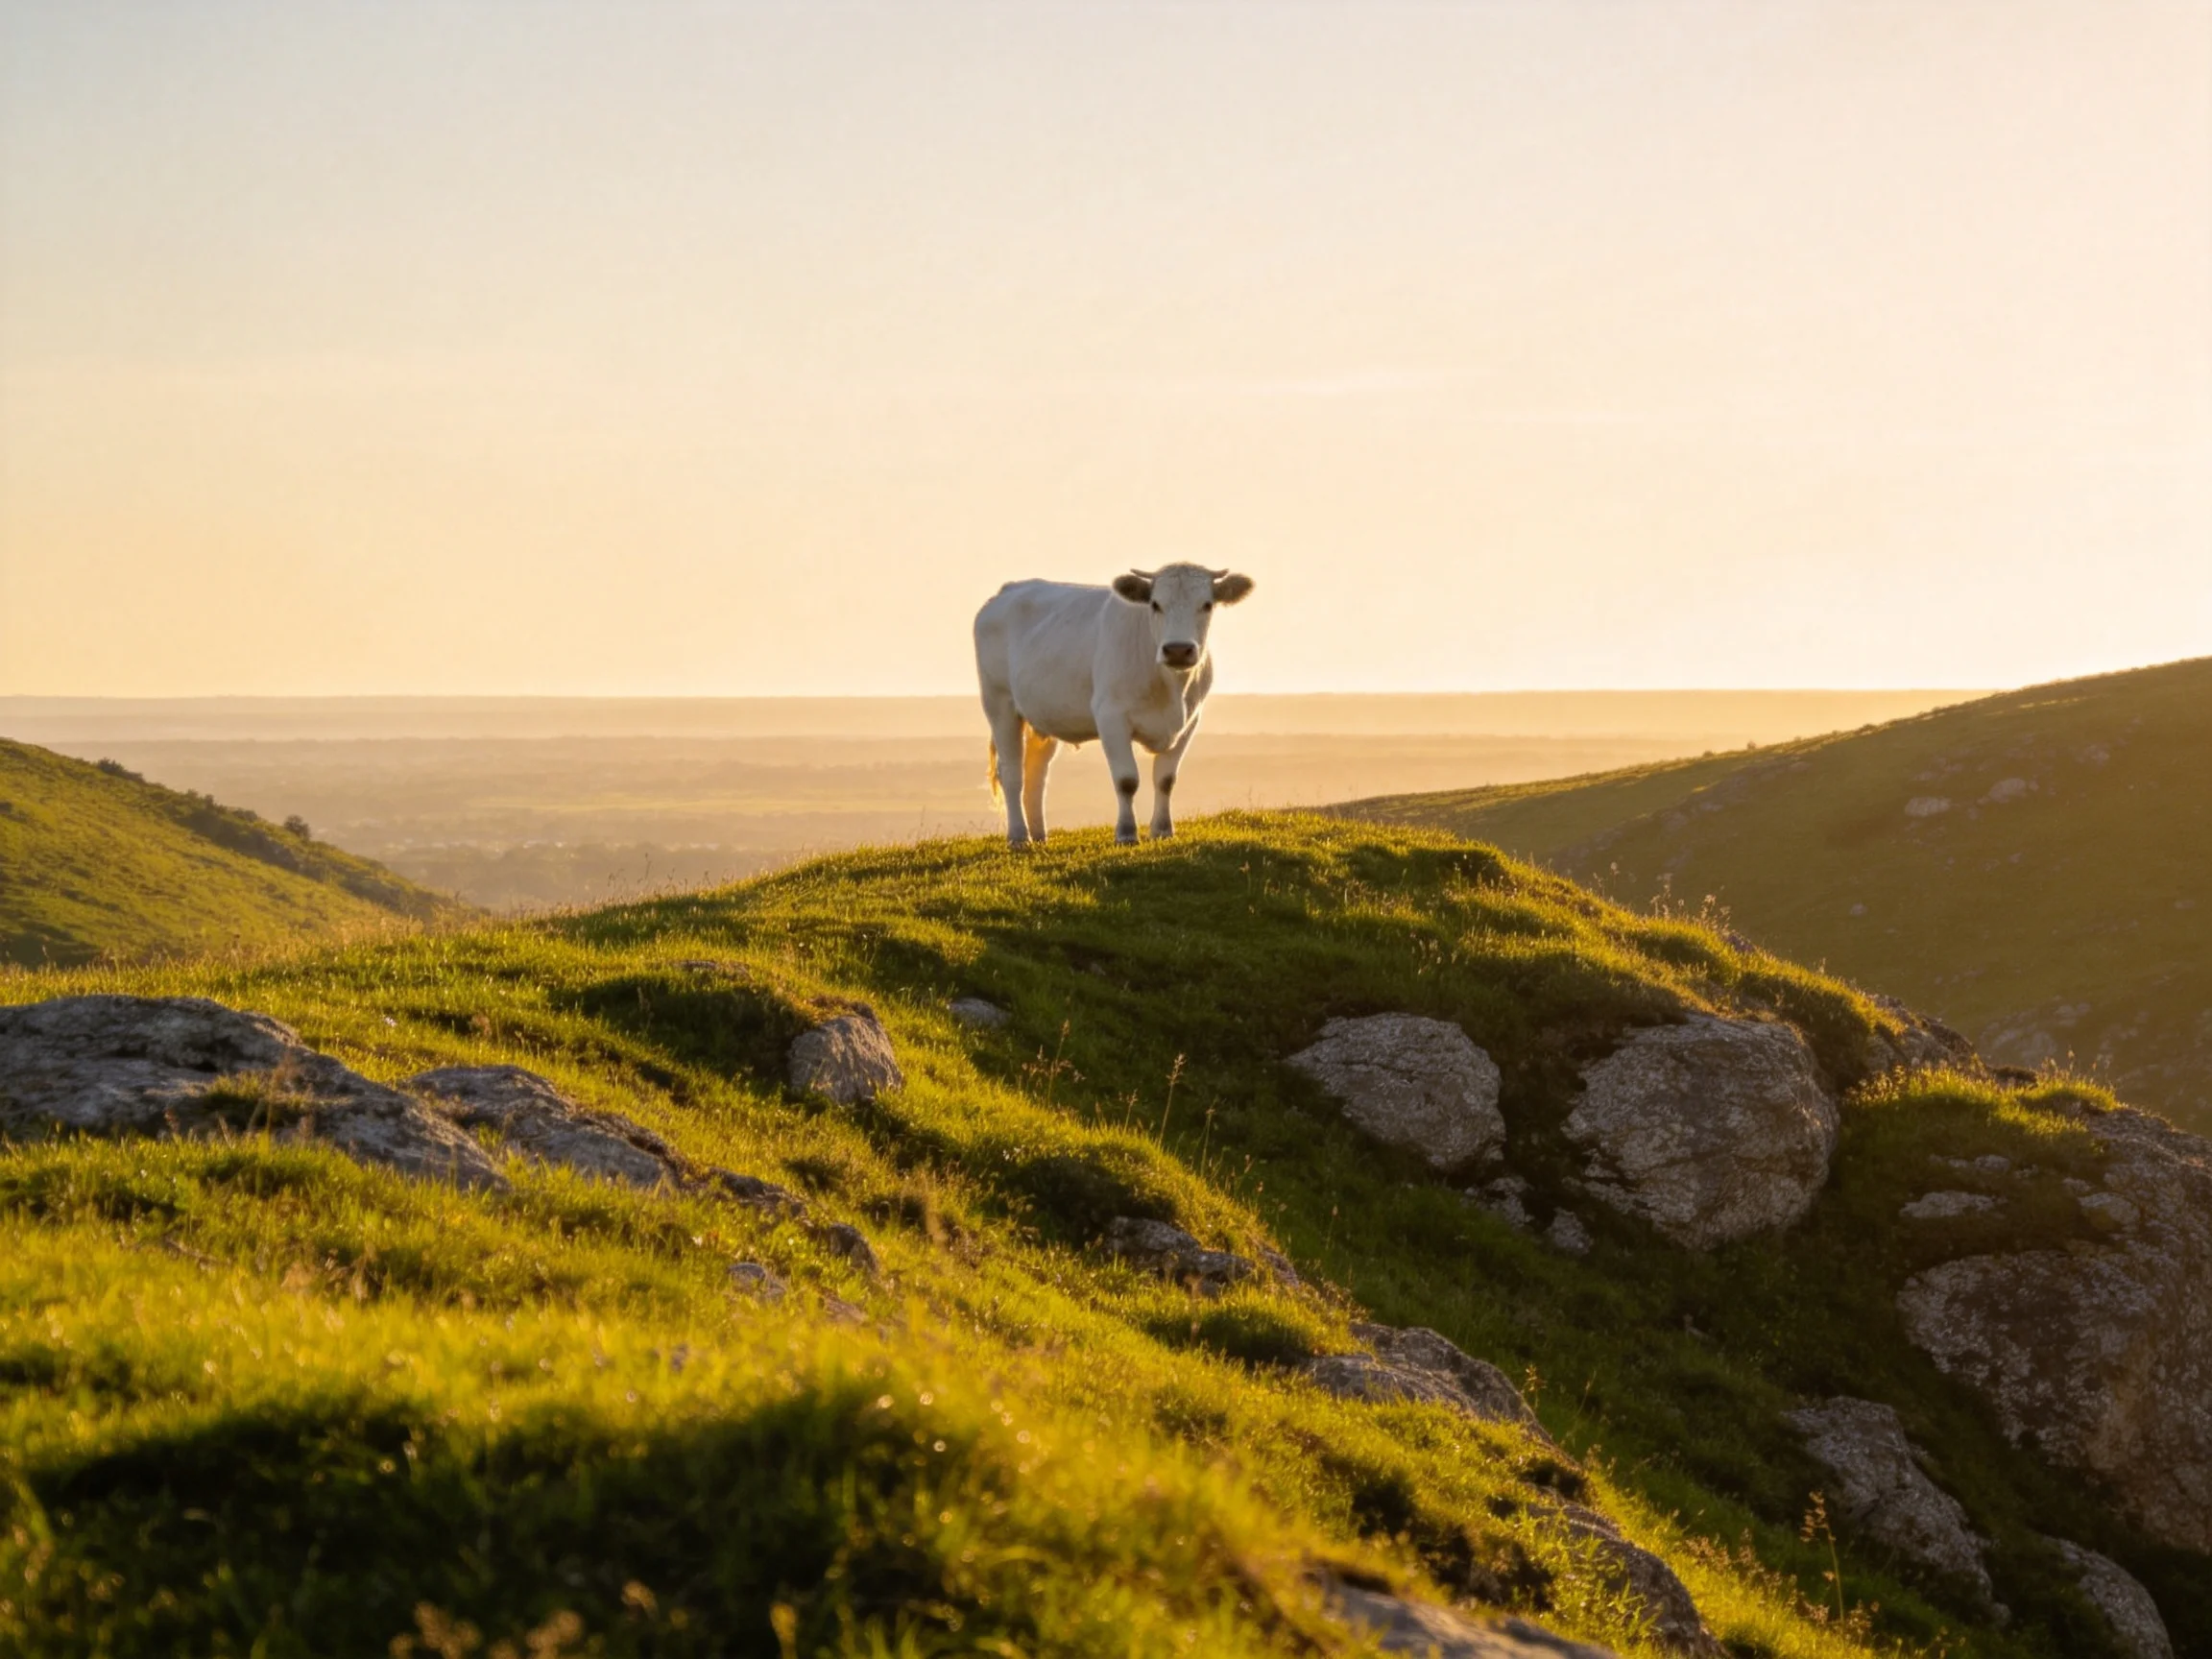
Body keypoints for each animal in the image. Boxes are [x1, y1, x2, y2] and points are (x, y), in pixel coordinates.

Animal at [973, 562, 1255, 848]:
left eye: (1207, 604)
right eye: (1155, 604)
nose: (1177, 650)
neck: (1170, 687)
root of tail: (1010, 589)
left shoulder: (1189, 722)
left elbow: (1165, 780)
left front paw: (1163, 831)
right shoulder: (1111, 717)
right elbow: (1126, 780)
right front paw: (1126, 833)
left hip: (1043, 715)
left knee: (1036, 774)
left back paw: (1040, 835)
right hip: (999, 703)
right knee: (1012, 773)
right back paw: (1019, 836)